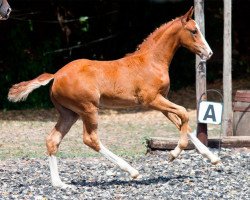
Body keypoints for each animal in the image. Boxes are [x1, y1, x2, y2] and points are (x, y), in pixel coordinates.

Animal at [7, 7, 219, 188]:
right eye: (194, 31)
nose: (209, 53)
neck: (151, 61)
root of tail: (56, 75)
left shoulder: (161, 99)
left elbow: (182, 122)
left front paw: (212, 157)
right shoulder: (151, 100)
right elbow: (183, 113)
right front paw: (174, 154)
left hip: (69, 113)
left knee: (53, 140)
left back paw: (59, 184)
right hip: (88, 109)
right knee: (90, 139)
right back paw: (131, 170)